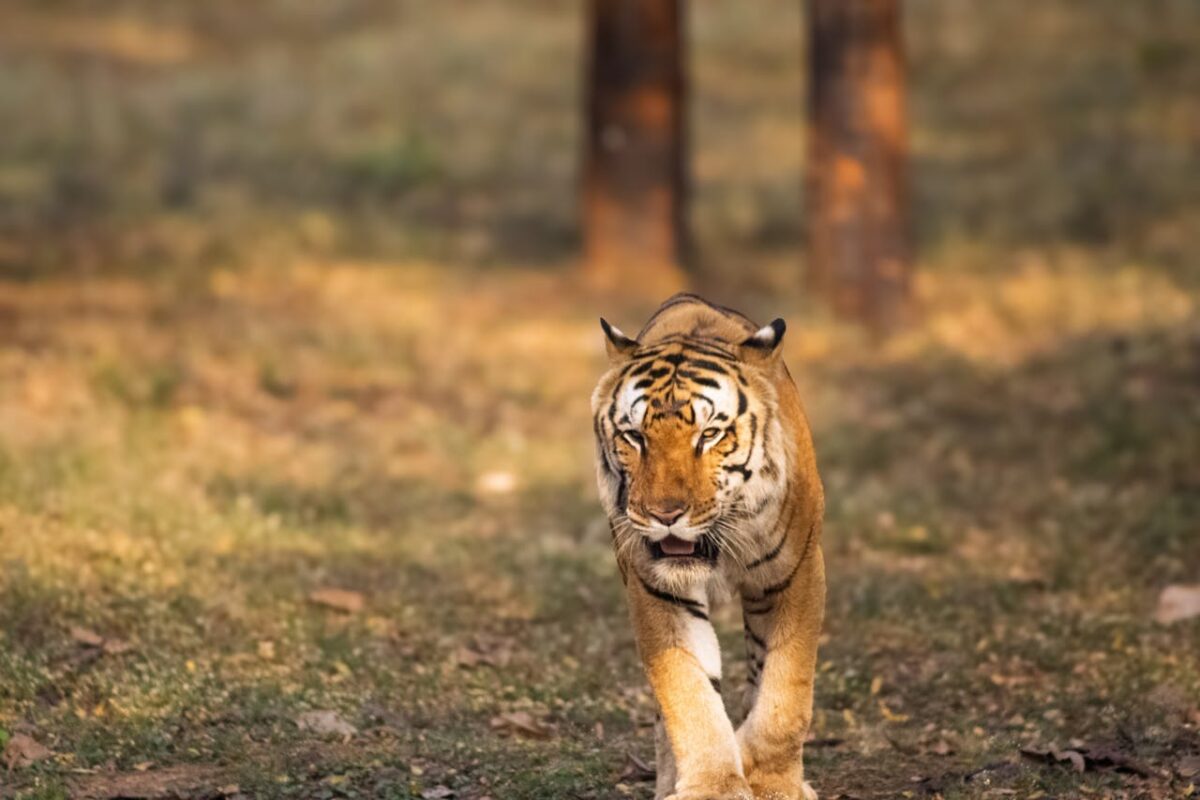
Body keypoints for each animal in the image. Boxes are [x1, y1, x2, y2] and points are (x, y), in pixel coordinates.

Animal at [591, 294, 825, 800]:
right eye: (635, 436)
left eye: (709, 435)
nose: (664, 514)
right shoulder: (657, 590)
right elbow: (689, 694)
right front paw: (713, 786)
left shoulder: (797, 573)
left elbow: (785, 693)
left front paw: (773, 782)